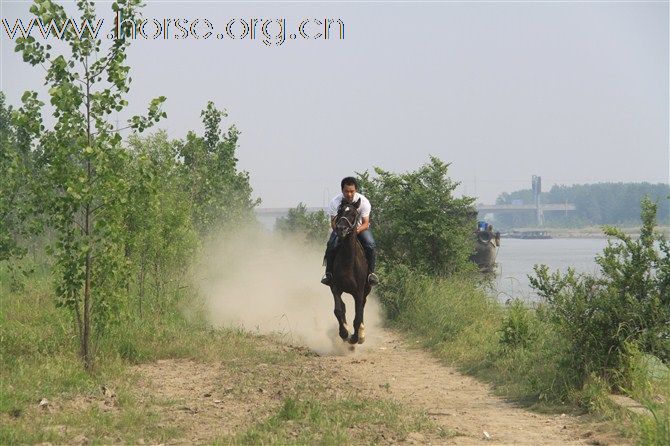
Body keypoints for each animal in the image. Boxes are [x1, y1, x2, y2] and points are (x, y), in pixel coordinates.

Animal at [330, 199, 372, 344]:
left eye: (354, 214)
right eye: (339, 212)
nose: (341, 229)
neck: (348, 263)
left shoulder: (358, 292)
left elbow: (358, 315)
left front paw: (355, 338)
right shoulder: (336, 288)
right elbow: (338, 310)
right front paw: (344, 333)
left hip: (366, 289)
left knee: (362, 307)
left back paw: (361, 334)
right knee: (343, 307)